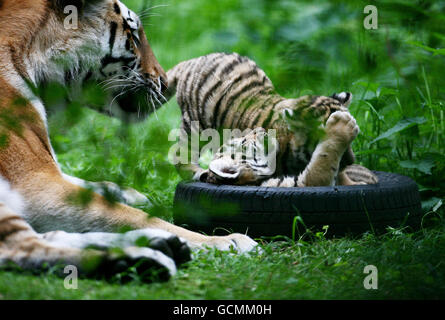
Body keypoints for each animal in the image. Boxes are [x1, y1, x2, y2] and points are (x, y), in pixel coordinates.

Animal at [0, 0, 256, 278]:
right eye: (133, 36)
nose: (167, 83)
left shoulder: (49, 170)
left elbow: (91, 186)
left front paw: (130, 194)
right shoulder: (37, 183)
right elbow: (134, 216)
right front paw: (228, 241)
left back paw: (160, 245)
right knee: (22, 247)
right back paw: (145, 258)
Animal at [165, 52, 376, 188]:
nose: (350, 162)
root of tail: (193, 61)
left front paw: (355, 182)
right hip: (195, 126)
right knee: (179, 154)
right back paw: (198, 172)